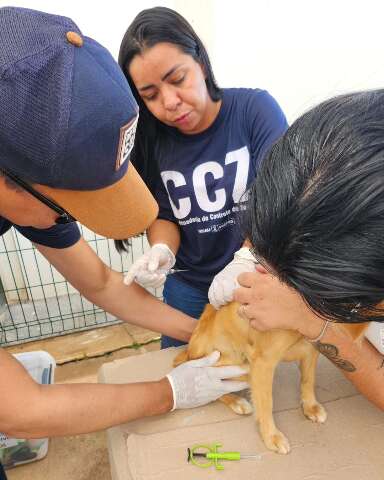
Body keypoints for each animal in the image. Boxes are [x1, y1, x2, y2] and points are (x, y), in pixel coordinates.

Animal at [174, 302, 328, 456]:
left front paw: (310, 406)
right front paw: (271, 436)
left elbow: (308, 380)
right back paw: (237, 401)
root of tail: (188, 353)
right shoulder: (264, 361)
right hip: (234, 362)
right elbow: (266, 404)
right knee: (212, 387)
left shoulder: (312, 346)